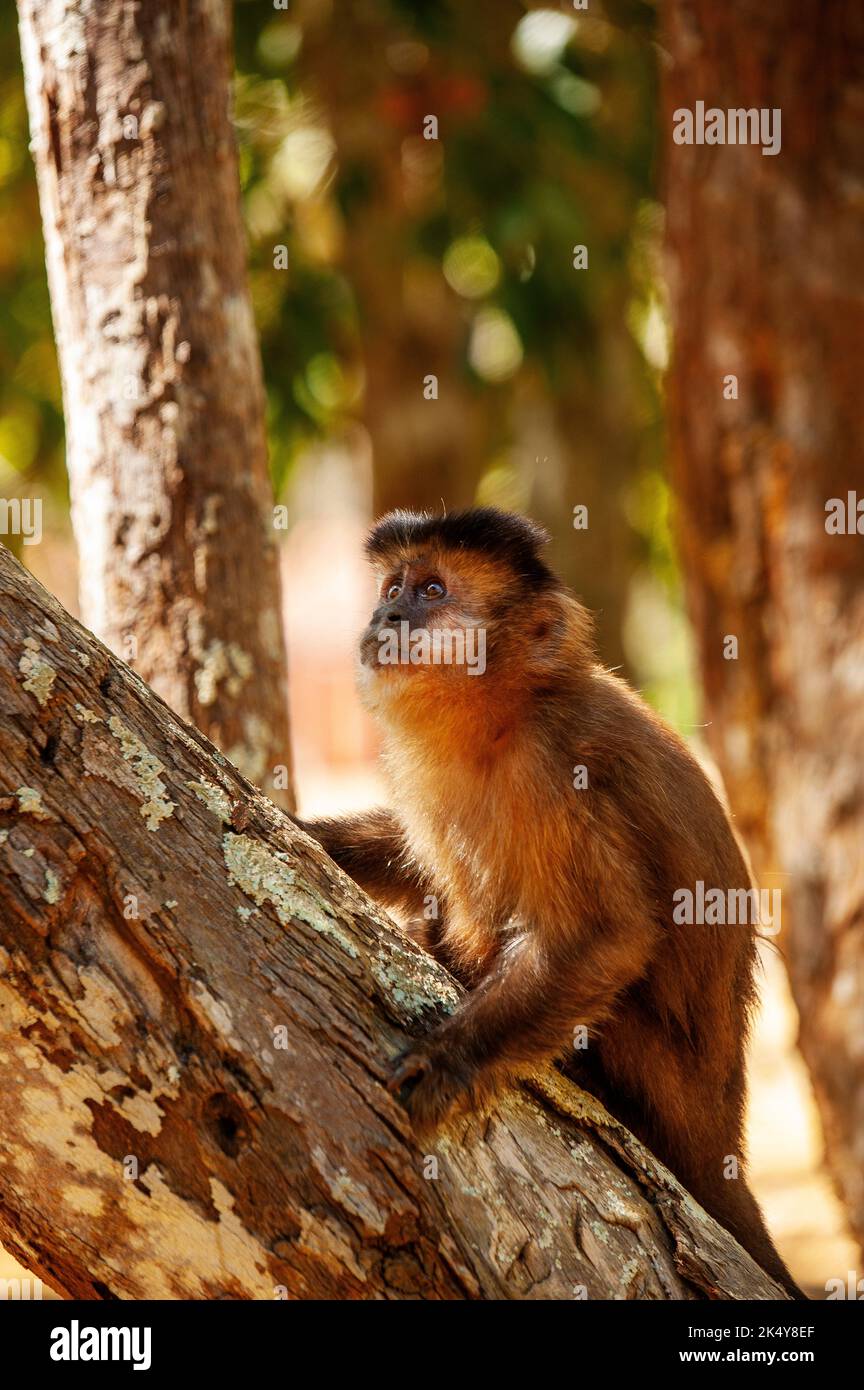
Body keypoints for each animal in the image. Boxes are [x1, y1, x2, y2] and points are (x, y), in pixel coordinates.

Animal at [295, 505, 805, 1295]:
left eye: (433, 590)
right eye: (394, 585)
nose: (387, 614)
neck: (508, 712)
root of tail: (722, 1134)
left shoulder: (556, 765)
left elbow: (612, 933)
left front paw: (452, 1061)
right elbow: (418, 862)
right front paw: (303, 830)